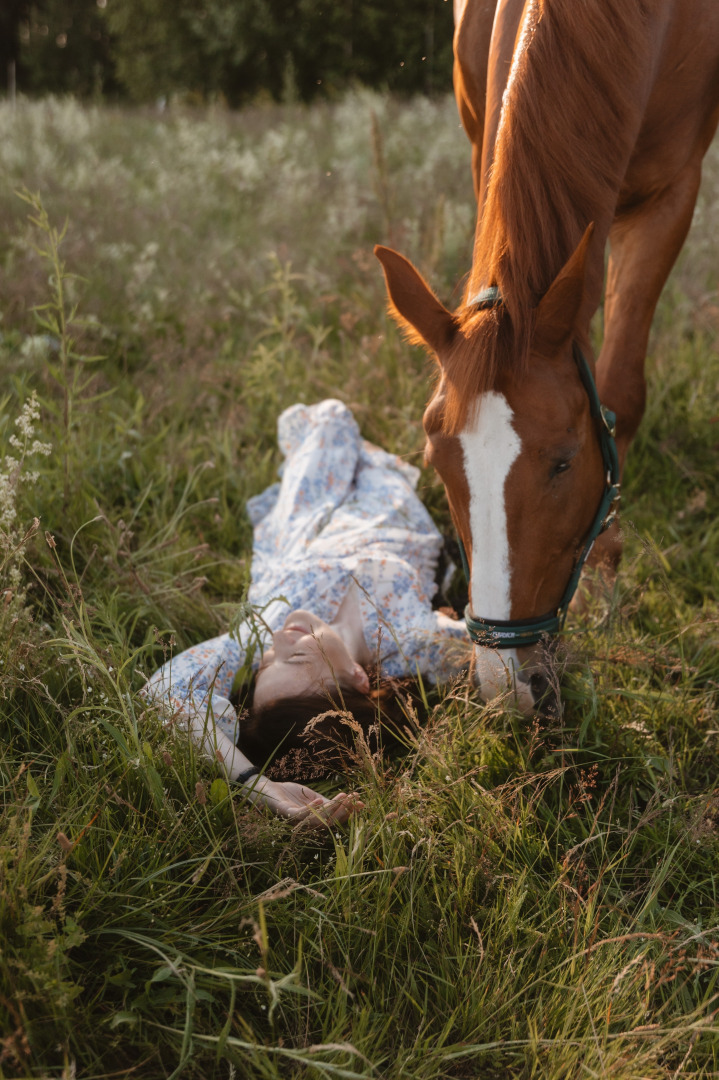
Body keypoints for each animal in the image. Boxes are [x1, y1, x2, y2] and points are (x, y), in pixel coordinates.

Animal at [375, 0, 716, 712]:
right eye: (438, 465)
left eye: (564, 462)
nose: (509, 683)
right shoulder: (489, 148)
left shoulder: (673, 193)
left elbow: (621, 389)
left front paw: (607, 567)